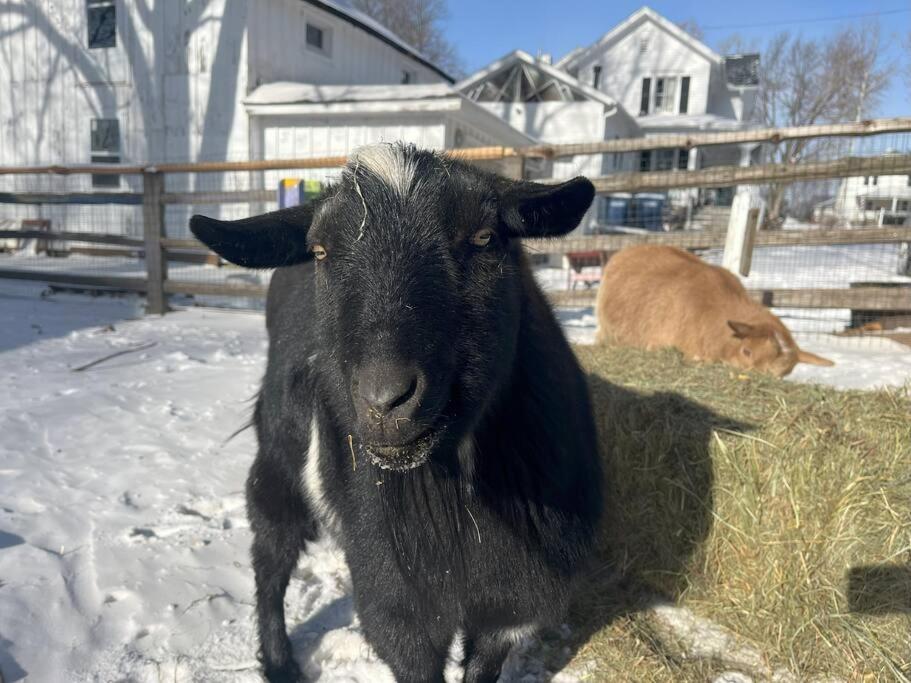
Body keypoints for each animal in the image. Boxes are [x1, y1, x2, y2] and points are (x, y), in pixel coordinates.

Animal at [190, 143, 603, 683]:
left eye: (484, 237)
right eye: (321, 251)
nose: (384, 399)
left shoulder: (514, 606)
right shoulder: (396, 606)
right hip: (279, 458)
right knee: (271, 557)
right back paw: (280, 663)